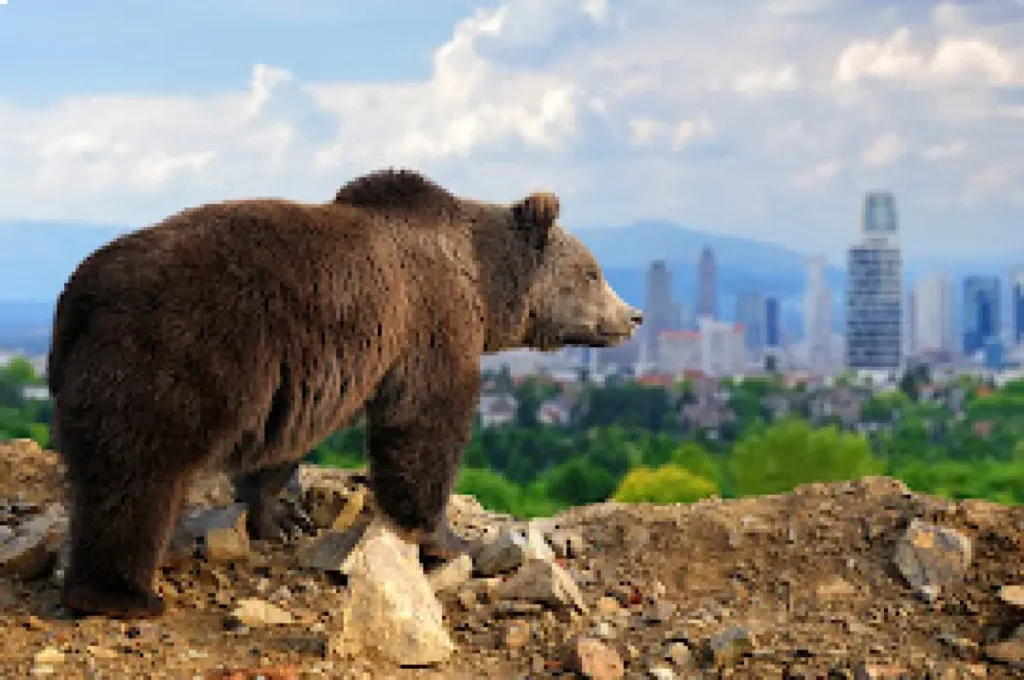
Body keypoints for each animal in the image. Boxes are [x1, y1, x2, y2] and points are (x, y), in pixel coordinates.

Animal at [47, 168, 643, 619]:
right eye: (592, 272)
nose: (633, 316)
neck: (482, 282)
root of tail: (79, 294)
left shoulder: (304, 379)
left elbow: (281, 448)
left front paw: (279, 517)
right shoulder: (427, 325)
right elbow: (426, 426)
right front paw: (448, 538)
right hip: (173, 356)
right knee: (137, 476)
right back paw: (123, 594)